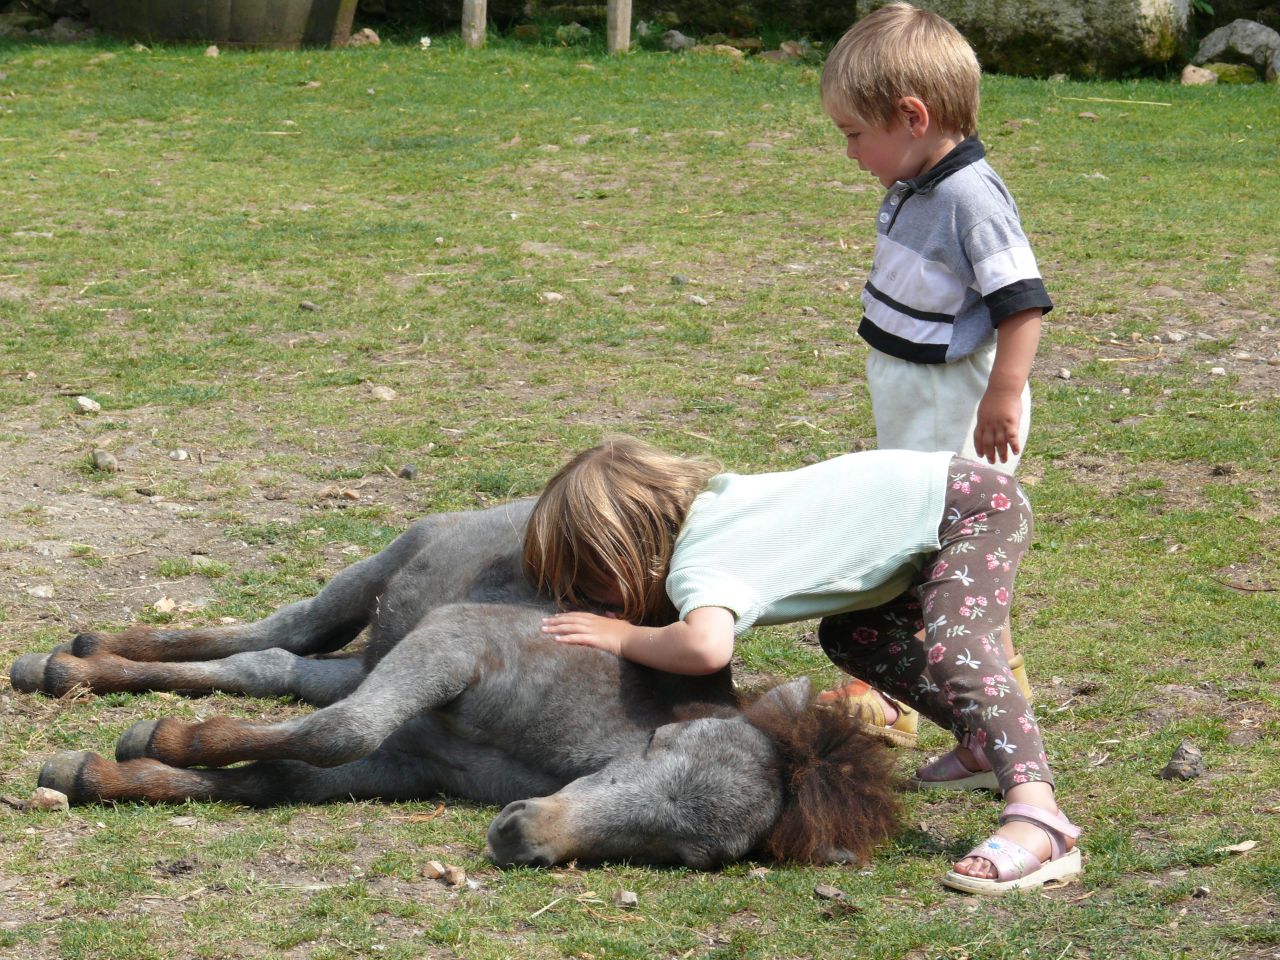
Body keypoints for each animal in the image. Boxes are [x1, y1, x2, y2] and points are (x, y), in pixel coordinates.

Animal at [10, 500, 899, 869]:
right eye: (652, 760)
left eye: (690, 855)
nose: (521, 838)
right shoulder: (455, 647)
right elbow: (339, 733)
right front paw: (160, 740)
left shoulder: (409, 761)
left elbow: (278, 775)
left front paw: (111, 771)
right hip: (379, 580)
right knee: (283, 629)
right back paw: (77, 659)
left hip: (367, 663)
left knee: (274, 668)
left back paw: (87, 666)